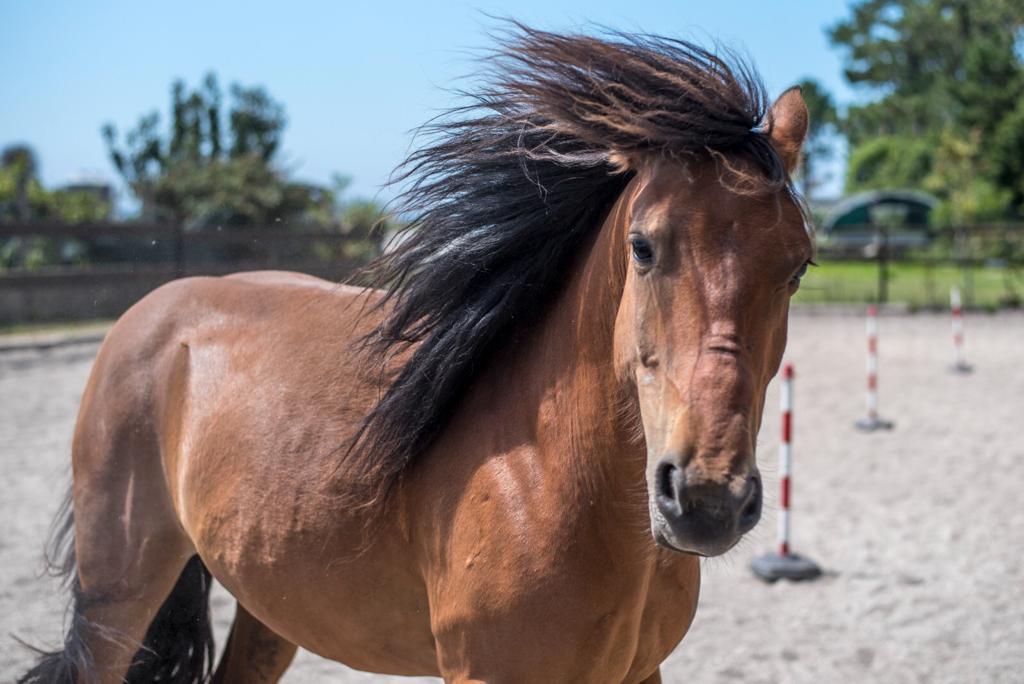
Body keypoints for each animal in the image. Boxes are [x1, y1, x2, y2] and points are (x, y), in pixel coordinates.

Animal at [20, 25, 812, 684]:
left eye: (799, 266)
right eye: (643, 247)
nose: (706, 499)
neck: (543, 474)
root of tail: (151, 314)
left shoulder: (637, 673)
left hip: (270, 605)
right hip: (117, 596)